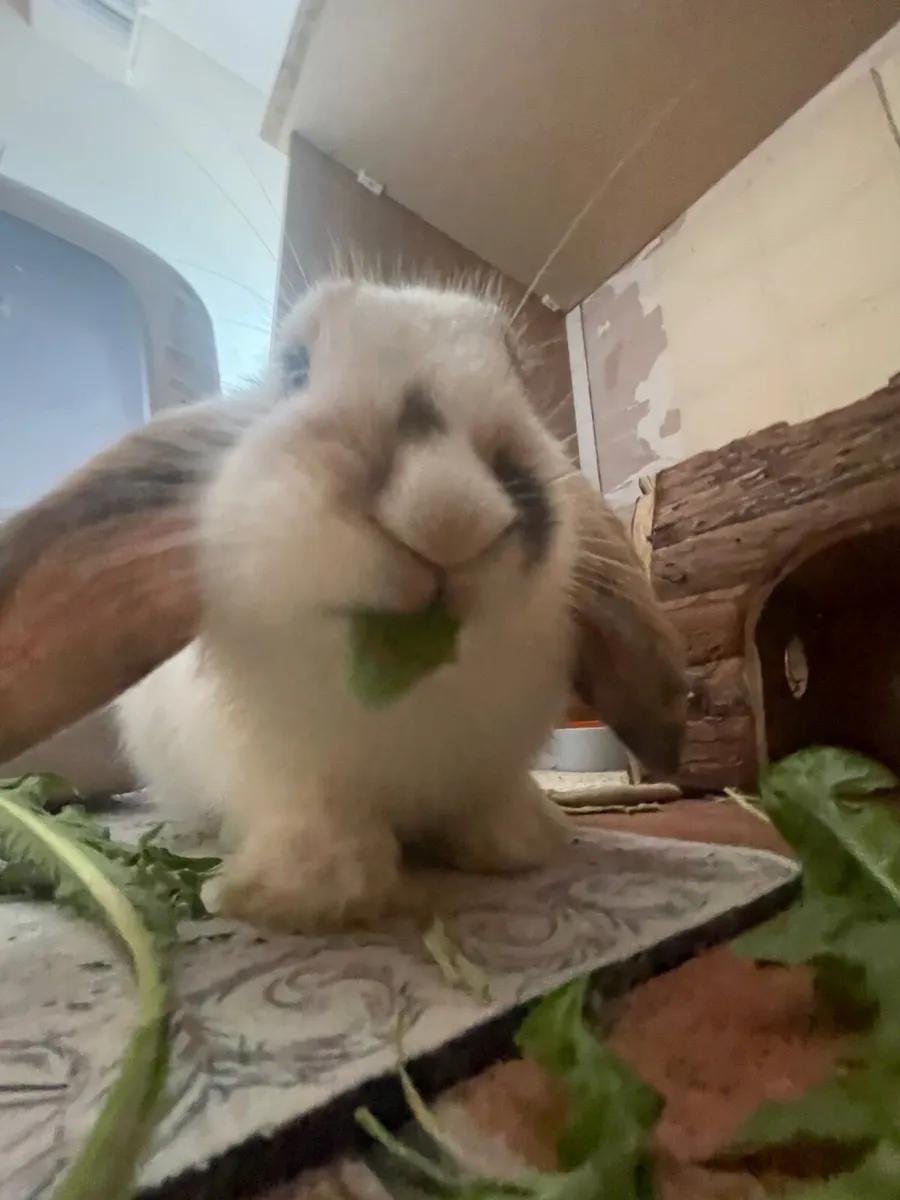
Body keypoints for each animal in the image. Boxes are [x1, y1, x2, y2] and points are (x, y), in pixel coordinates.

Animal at [106, 276, 688, 934]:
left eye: (517, 368)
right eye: (295, 368)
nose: (448, 513)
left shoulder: (488, 767)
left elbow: (490, 806)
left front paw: (521, 844)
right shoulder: (286, 772)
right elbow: (324, 830)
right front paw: (292, 897)